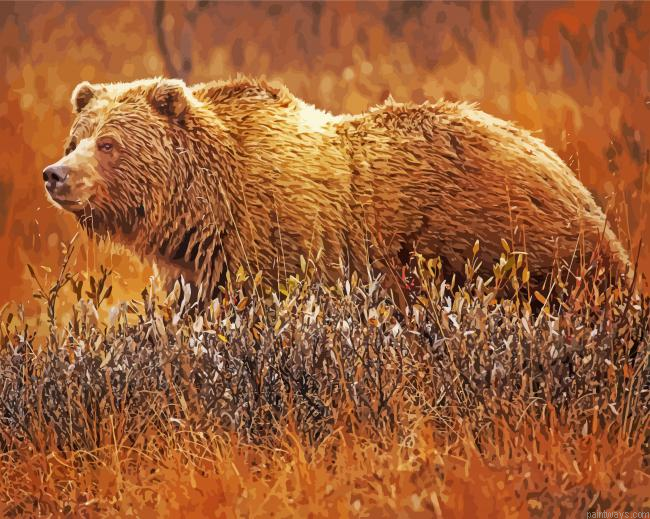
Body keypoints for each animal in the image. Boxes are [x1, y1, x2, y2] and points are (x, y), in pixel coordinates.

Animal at [42, 76, 629, 299]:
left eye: (109, 143)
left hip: (510, 245)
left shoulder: (279, 243)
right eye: (77, 136)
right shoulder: (202, 269)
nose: (55, 174)